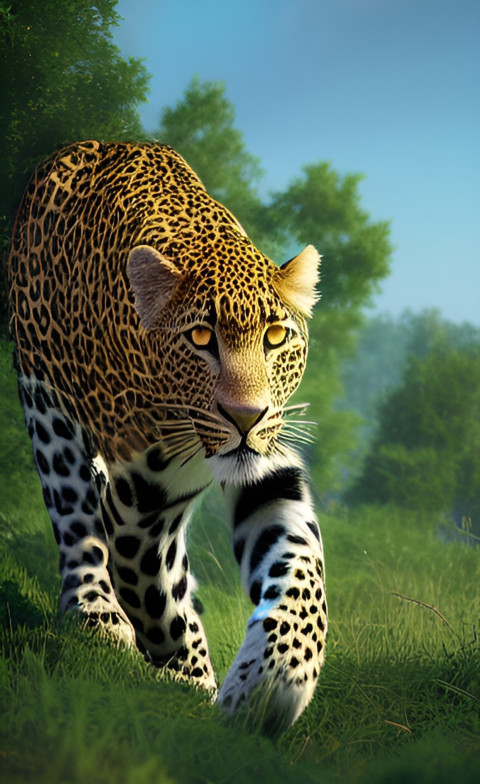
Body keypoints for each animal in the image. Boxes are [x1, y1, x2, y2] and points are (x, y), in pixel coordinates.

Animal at [9, 140, 327, 735]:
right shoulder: (140, 494)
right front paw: (188, 680)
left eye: (276, 336)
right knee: (74, 512)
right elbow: (153, 589)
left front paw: (271, 681)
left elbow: (299, 566)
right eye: (200, 337)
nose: (245, 416)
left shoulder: (264, 465)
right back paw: (97, 612)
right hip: (44, 392)